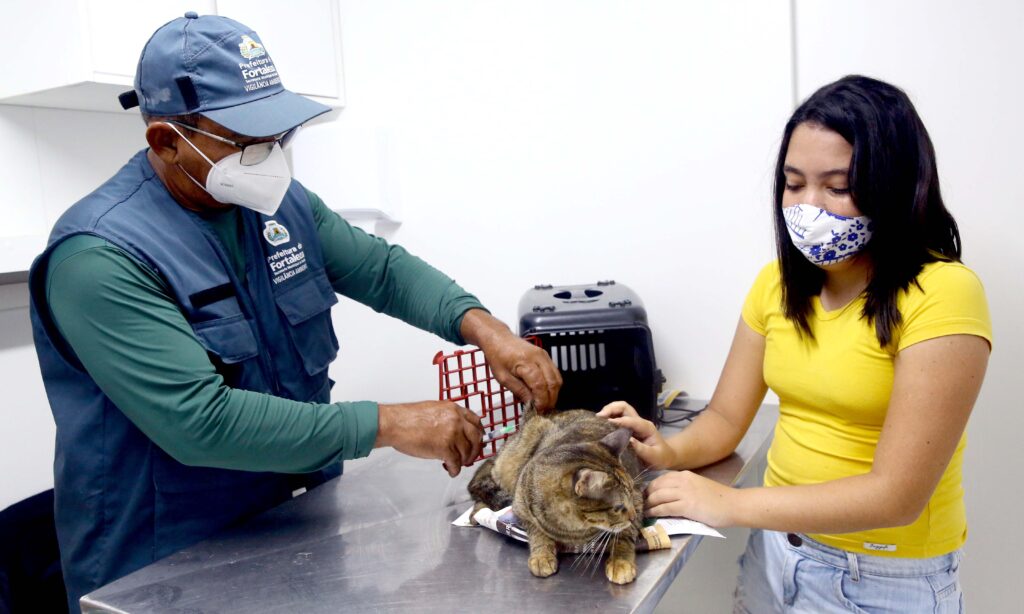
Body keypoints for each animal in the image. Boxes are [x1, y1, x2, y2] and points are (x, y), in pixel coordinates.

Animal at [468, 403, 643, 585]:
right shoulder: (521, 509)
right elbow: (538, 532)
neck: (574, 526)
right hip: (510, 463)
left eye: (630, 495)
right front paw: (542, 556)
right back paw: (477, 512)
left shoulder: (638, 499)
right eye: (618, 507)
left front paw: (620, 562)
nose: (632, 516)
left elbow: (625, 534)